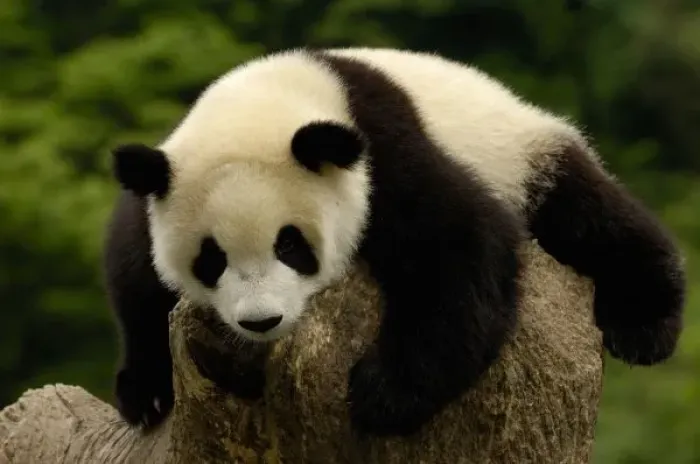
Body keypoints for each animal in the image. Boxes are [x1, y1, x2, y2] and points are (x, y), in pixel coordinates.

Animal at [104, 47, 686, 437]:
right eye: (212, 259)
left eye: (291, 245)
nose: (261, 321)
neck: (270, 100)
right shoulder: (158, 183)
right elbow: (135, 276)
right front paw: (147, 392)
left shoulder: (383, 153)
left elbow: (461, 246)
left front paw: (383, 394)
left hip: (523, 156)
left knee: (592, 217)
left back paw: (644, 326)